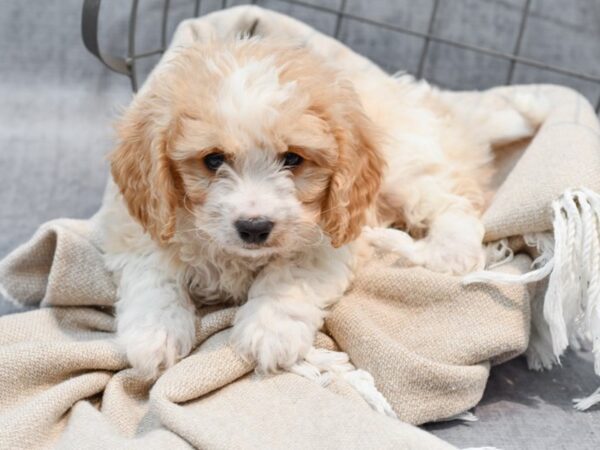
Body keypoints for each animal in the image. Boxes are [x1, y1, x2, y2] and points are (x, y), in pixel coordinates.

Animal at [99, 38, 544, 378]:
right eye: (213, 160)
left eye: (292, 159)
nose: (254, 227)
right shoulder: (138, 227)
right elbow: (154, 275)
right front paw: (154, 334)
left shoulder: (332, 236)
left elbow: (288, 274)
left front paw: (269, 330)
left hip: (409, 172)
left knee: (455, 216)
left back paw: (429, 249)